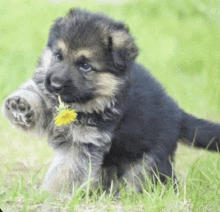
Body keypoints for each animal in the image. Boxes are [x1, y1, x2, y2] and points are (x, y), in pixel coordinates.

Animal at [2, 8, 220, 194]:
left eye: (85, 66)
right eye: (58, 55)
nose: (55, 85)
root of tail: (178, 114)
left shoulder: (83, 143)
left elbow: (66, 171)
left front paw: (51, 195)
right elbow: (39, 97)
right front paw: (21, 105)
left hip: (150, 159)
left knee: (152, 179)